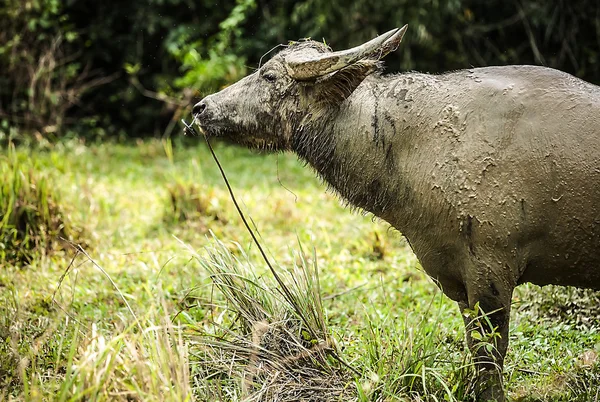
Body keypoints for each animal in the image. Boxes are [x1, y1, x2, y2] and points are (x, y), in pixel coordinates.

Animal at [192, 26, 600, 400]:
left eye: (270, 76)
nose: (201, 108)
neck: (411, 142)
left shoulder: (493, 271)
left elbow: (490, 358)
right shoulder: (460, 278)